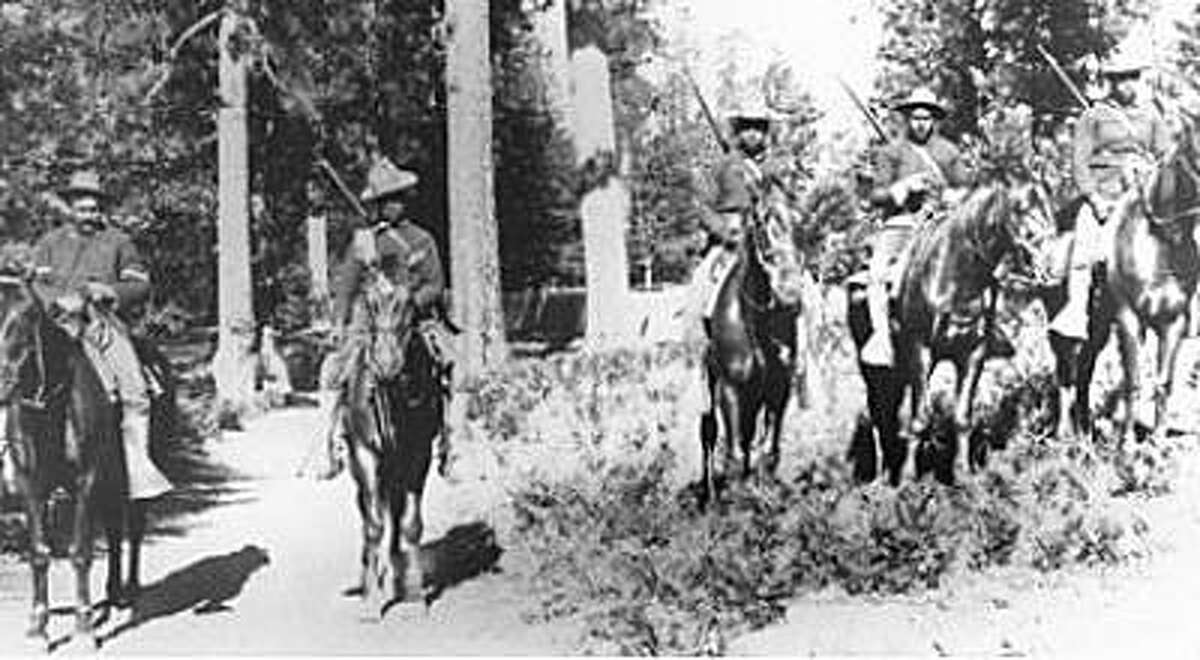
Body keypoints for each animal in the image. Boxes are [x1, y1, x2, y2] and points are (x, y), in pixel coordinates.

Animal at [0, 253, 153, 652]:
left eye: (26, 316)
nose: (2, 383)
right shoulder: (31, 484)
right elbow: (40, 553)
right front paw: (38, 627)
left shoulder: (87, 478)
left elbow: (80, 553)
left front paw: (84, 627)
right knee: (113, 529)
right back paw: (113, 592)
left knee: (133, 526)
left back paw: (130, 590)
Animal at [333, 277, 446, 619]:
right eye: (369, 306)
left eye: (408, 309)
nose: (386, 363)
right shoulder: (365, 454)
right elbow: (373, 524)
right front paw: (370, 600)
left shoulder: (418, 454)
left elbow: (410, 524)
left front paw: (414, 597)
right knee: (371, 515)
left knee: (395, 516)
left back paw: (395, 573)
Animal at [700, 201, 811, 511]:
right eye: (760, 225)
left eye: (799, 223)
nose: (789, 293)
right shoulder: (730, 389)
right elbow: (734, 449)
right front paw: (734, 500)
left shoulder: (778, 389)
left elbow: (768, 447)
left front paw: (766, 493)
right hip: (713, 387)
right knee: (710, 432)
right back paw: (712, 493)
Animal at [849, 181, 1056, 487]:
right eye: (1021, 209)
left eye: (1049, 209)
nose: (1052, 267)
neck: (956, 276)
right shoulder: (919, 350)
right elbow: (920, 417)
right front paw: (908, 480)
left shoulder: (973, 354)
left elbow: (961, 417)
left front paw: (964, 475)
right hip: (875, 367)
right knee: (879, 411)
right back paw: (880, 476)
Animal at [1041, 116, 1200, 448]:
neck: (1159, 242)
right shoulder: (1129, 317)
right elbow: (1133, 381)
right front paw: (1126, 443)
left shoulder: (1173, 322)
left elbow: (1164, 383)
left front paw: (1158, 441)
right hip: (1063, 324)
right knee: (1065, 372)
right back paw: (1064, 435)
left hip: (1098, 328)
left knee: (1083, 373)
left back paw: (1085, 433)